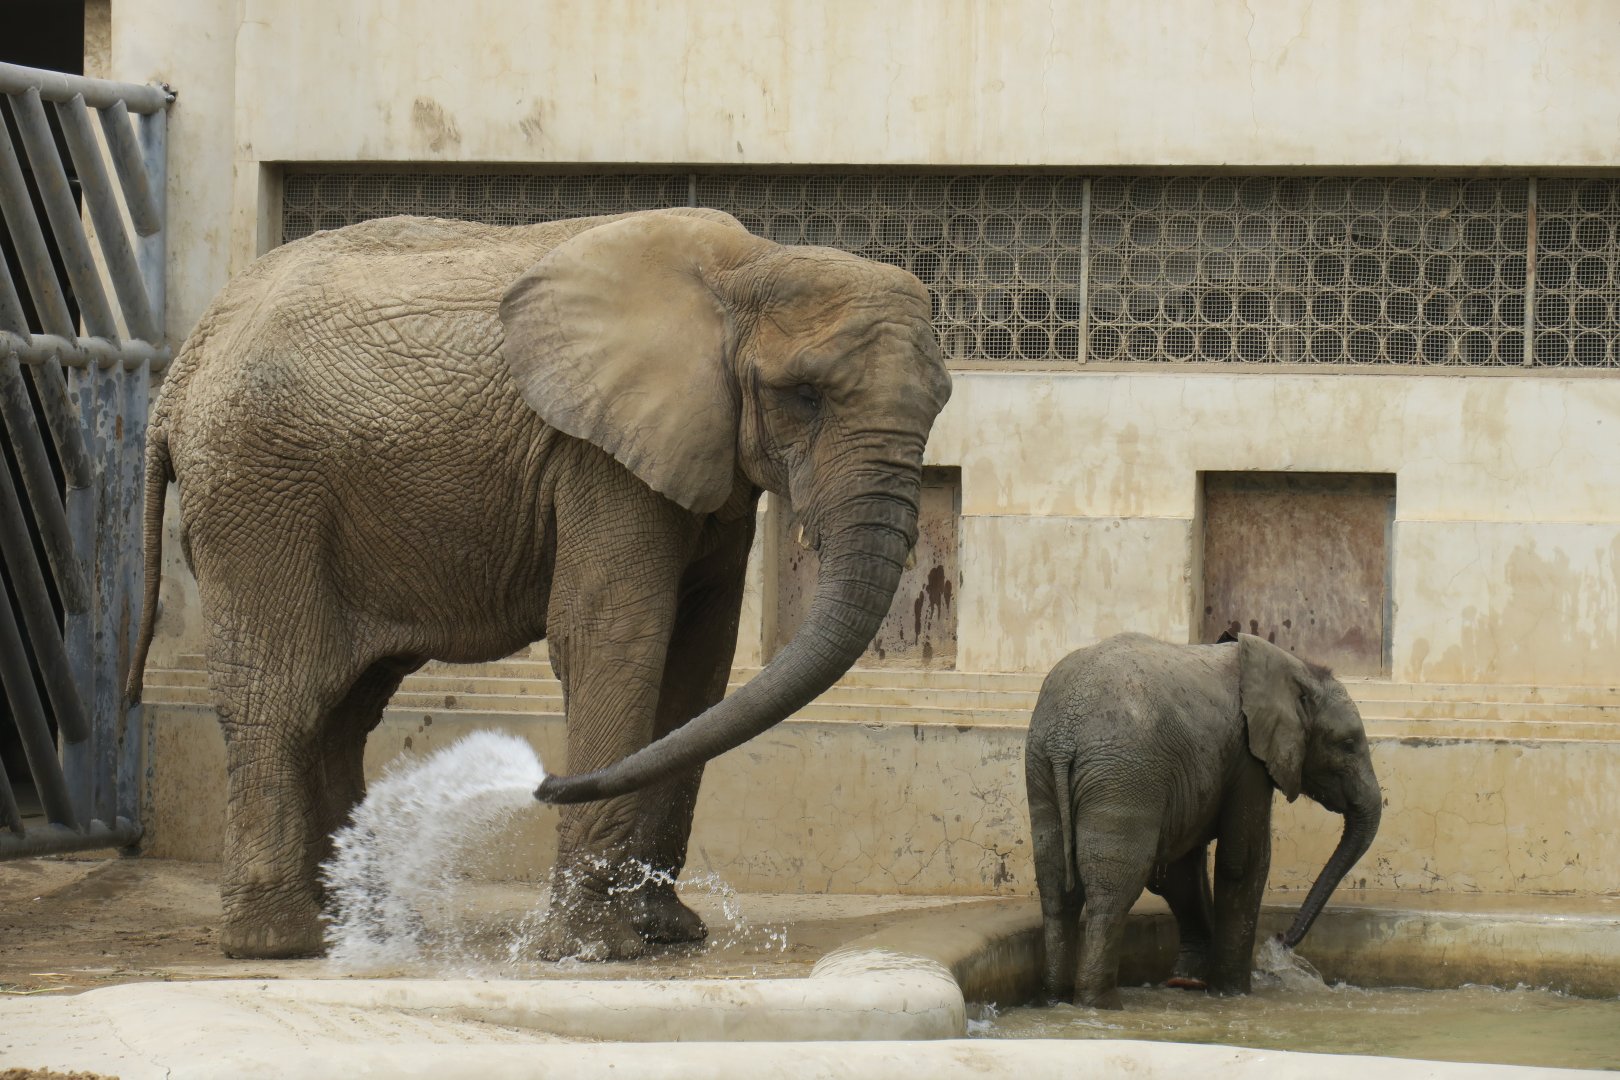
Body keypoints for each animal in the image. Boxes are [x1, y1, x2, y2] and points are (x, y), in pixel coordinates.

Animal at [126, 207, 951, 961]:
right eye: (805, 394)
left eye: (941, 399)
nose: (543, 783)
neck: (750, 265)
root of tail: (182, 371)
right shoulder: (599, 458)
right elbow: (615, 640)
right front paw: (594, 951)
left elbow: (699, 664)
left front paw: (668, 933)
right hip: (257, 495)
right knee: (285, 697)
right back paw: (280, 942)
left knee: (345, 706)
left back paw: (376, 931)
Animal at [1024, 632, 1381, 1009]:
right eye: (1347, 744)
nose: (1281, 938)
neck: (1296, 667)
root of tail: (1064, 737)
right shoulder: (1247, 756)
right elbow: (1242, 863)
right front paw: (1232, 992)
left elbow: (1180, 872)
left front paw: (1189, 982)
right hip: (1123, 772)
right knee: (1113, 887)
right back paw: (1100, 1004)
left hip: (1043, 768)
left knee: (1055, 885)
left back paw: (1056, 998)